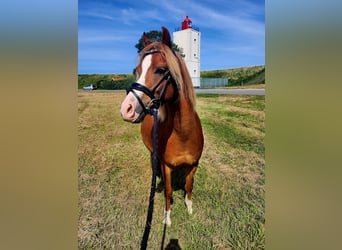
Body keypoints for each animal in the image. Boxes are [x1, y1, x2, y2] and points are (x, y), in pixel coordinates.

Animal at [120, 26, 203, 226]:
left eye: (160, 69)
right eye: (138, 70)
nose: (126, 109)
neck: (183, 133)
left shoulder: (194, 165)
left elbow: (189, 186)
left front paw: (189, 208)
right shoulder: (167, 167)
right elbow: (168, 191)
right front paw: (167, 217)